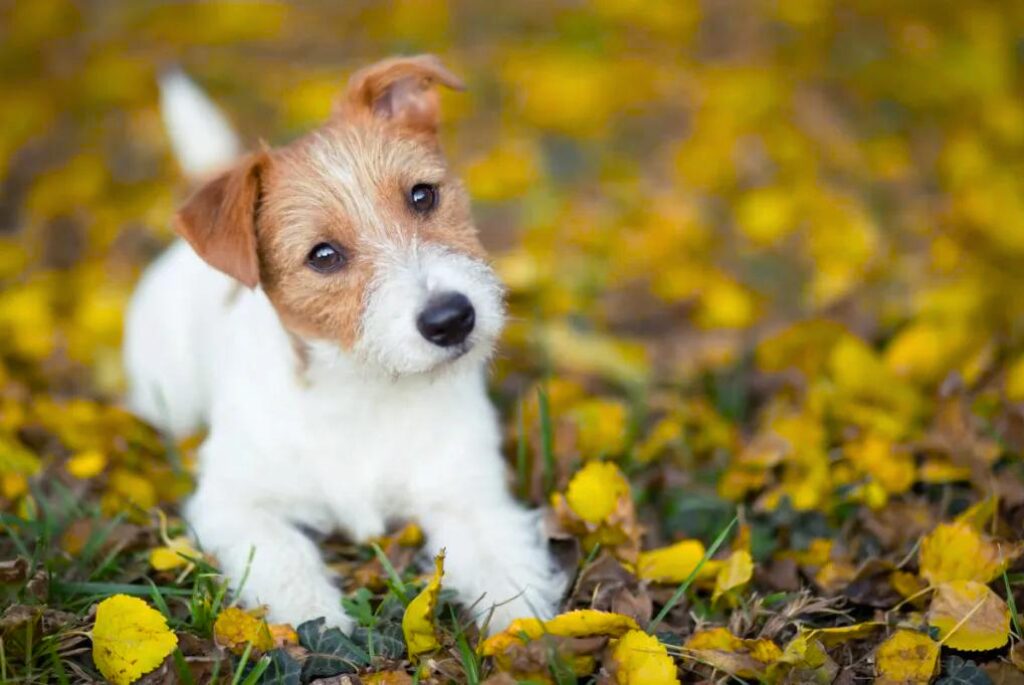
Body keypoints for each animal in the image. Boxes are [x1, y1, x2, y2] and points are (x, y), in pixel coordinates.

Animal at [125, 56, 569, 634]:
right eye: (323, 255)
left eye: (422, 195)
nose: (451, 319)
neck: (367, 389)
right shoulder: (233, 502)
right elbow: (283, 555)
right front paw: (316, 618)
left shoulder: (468, 494)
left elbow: (504, 571)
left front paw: (528, 636)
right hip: (168, 399)